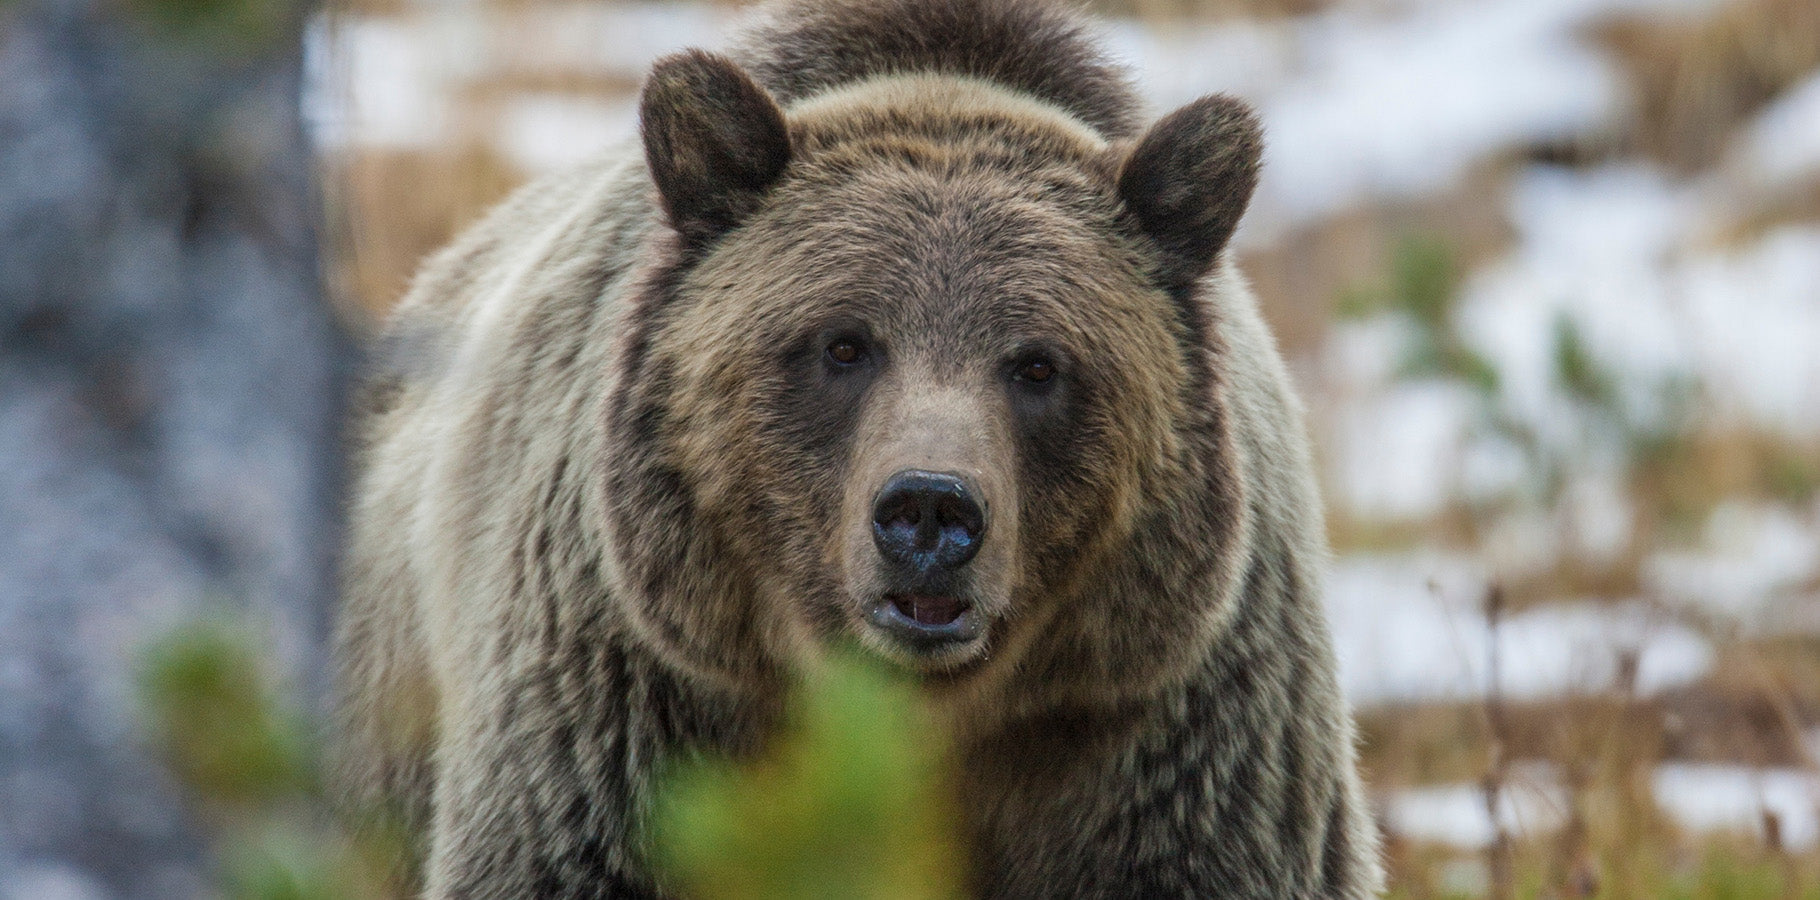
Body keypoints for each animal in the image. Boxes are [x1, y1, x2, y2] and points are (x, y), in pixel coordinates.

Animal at [333, 0, 1382, 896]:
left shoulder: (1167, 735)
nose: (930, 510)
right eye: (843, 343)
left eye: (1039, 364)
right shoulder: (627, 705)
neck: (903, 712)